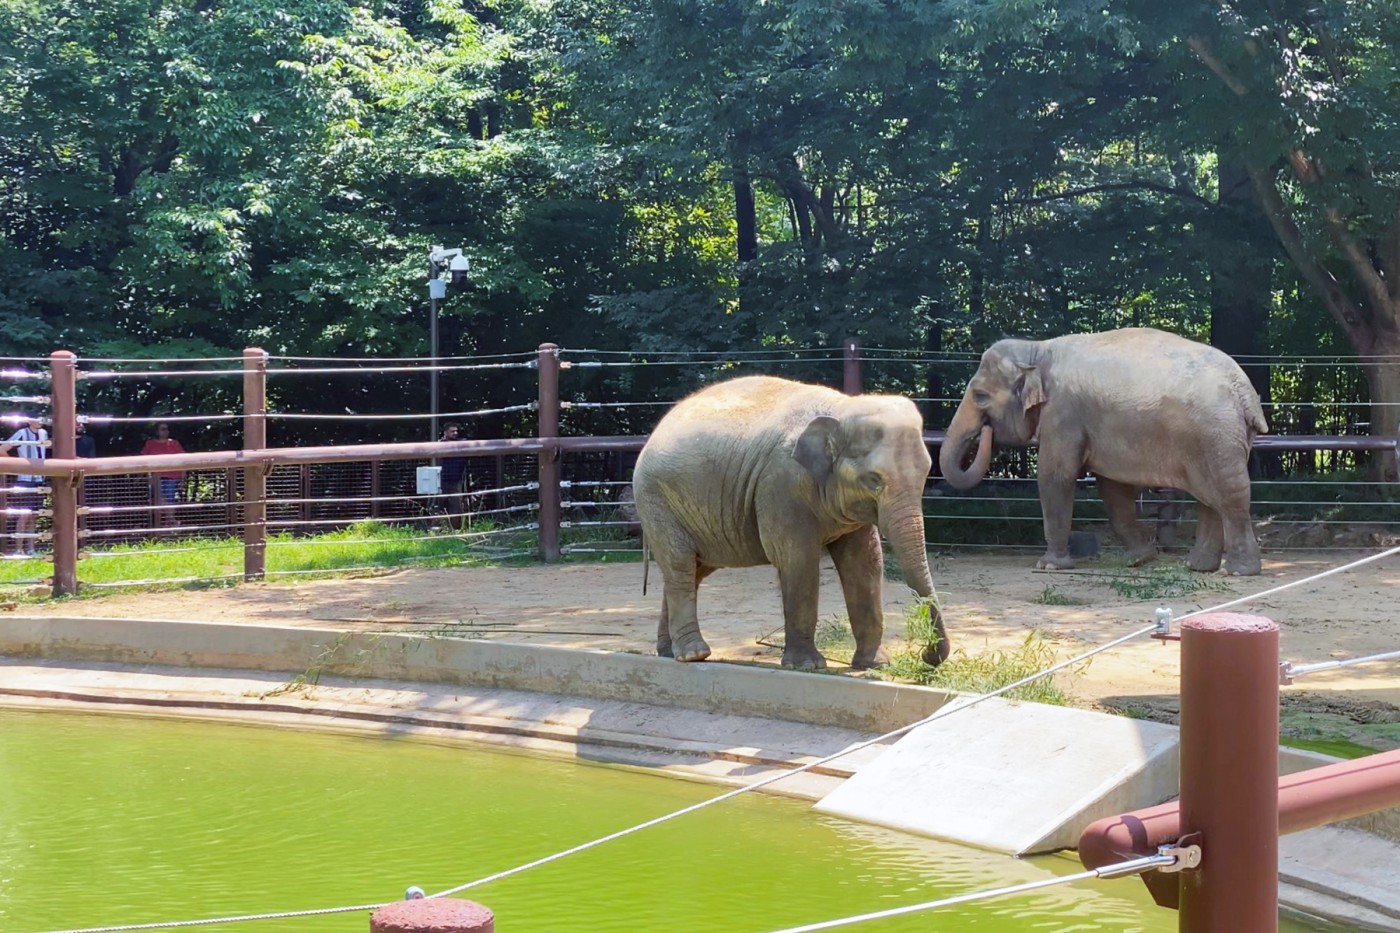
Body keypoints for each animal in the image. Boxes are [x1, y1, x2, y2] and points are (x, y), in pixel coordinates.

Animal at [635, 375, 952, 672]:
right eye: (874, 480)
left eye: (927, 472)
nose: (926, 655)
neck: (841, 408)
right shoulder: (780, 485)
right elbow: (797, 559)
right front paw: (807, 665)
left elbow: (864, 562)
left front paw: (875, 664)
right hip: (657, 501)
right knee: (680, 565)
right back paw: (694, 655)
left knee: (693, 571)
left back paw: (670, 652)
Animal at [940, 326, 1271, 574]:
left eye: (980, 396)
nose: (985, 431)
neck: (1037, 350)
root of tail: (1244, 390)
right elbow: (1113, 489)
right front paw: (1140, 559)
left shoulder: (1063, 414)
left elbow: (1054, 476)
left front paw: (1049, 566)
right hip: (1218, 438)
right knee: (1211, 499)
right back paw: (1199, 567)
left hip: (1216, 434)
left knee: (1229, 495)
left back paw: (1237, 571)